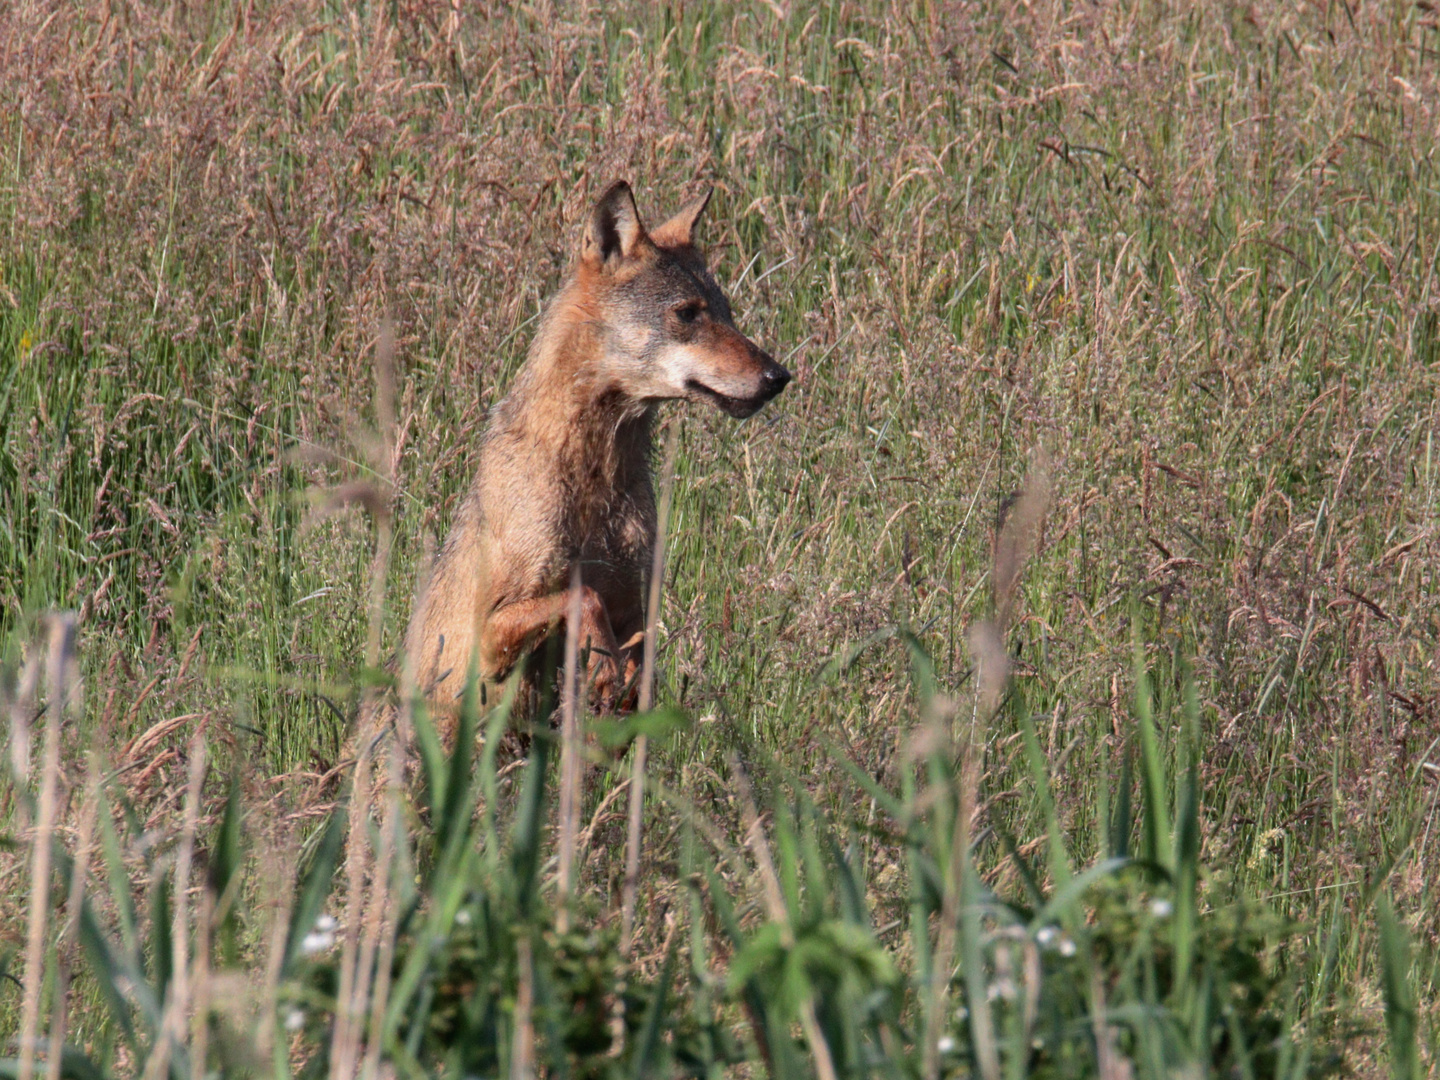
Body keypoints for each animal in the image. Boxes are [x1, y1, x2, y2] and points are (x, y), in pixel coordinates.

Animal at [400, 182, 794, 722]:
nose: (780, 377)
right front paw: (605, 668)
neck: (596, 483)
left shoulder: (636, 605)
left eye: (727, 314)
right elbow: (584, 599)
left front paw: (620, 684)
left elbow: (640, 657)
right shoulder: (491, 636)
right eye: (688, 313)